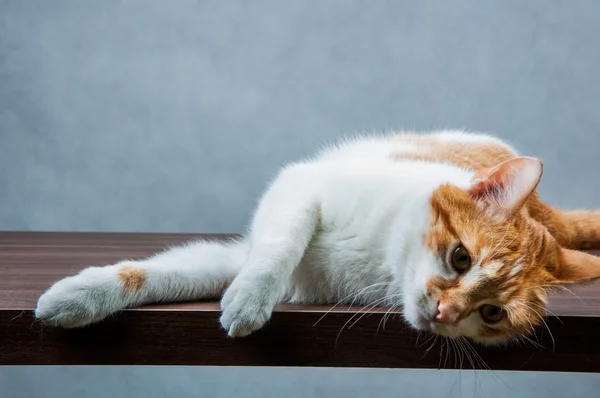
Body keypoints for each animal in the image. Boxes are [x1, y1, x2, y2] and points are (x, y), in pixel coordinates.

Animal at [34, 131, 600, 346]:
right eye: (461, 258)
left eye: (491, 313)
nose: (445, 313)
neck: (381, 261)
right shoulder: (297, 191)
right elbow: (277, 243)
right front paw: (76, 296)